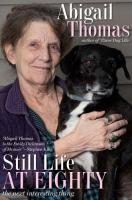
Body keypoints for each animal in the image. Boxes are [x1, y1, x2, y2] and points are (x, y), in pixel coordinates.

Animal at [57, 44, 132, 200]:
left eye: (112, 64)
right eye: (89, 61)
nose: (108, 82)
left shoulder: (108, 160)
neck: (85, 102)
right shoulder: (74, 164)